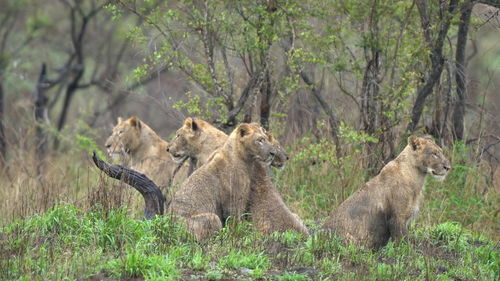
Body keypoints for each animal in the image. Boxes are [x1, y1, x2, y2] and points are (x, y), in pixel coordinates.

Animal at [322, 136, 452, 247]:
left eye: (441, 152)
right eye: (434, 153)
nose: (448, 167)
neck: (417, 177)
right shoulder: (397, 217)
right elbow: (402, 242)